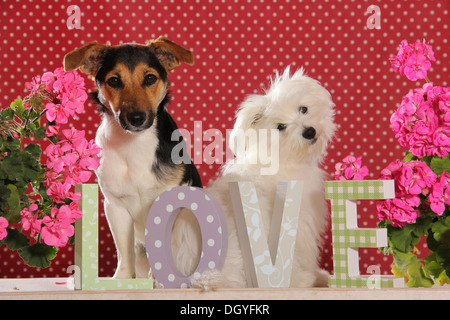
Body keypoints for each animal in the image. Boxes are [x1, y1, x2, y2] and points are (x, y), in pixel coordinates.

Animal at [63, 37, 202, 278]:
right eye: (114, 81)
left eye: (150, 78)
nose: (136, 118)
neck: (134, 144)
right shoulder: (116, 207)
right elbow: (124, 252)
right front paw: (123, 279)